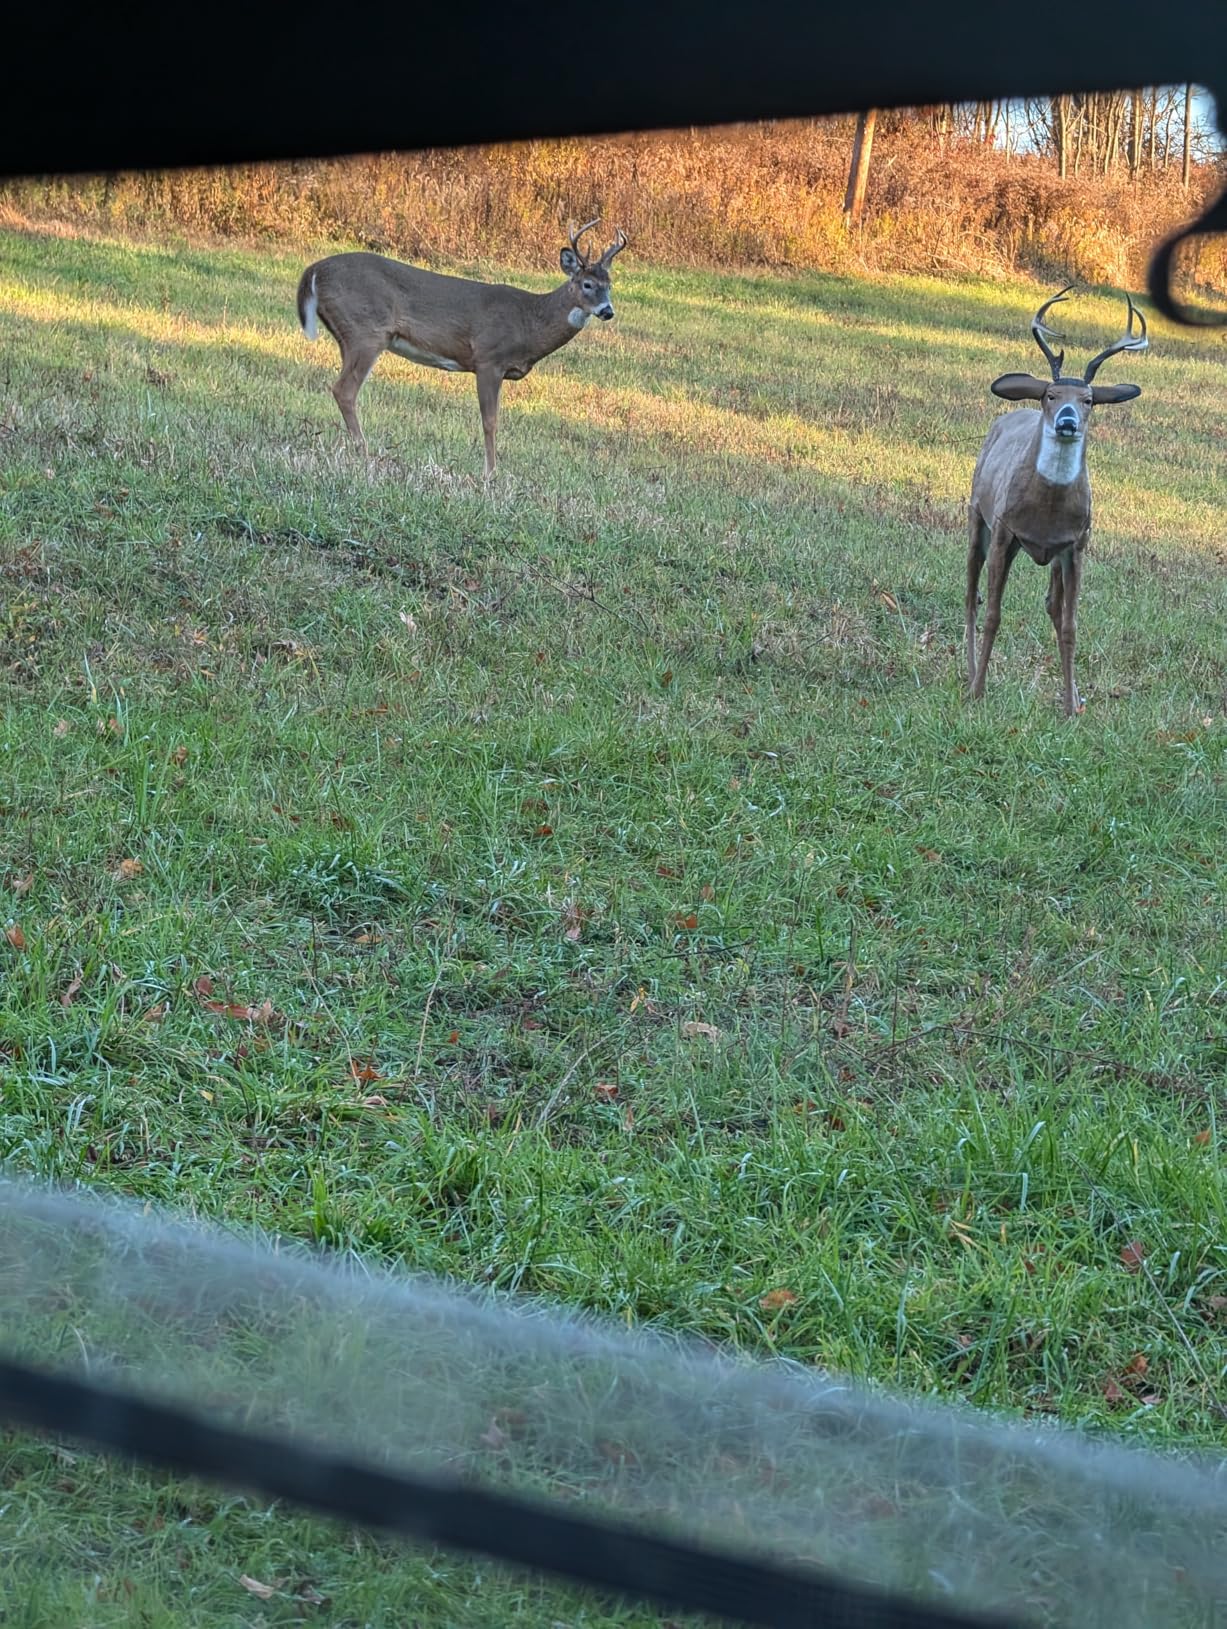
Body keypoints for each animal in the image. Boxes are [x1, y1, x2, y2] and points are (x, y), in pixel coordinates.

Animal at [296, 220, 628, 478]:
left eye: (609, 284)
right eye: (587, 284)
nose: (608, 311)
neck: (529, 322)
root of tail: (313, 271)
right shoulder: (488, 358)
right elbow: (490, 422)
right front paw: (490, 475)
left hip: (348, 335)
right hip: (367, 331)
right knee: (344, 389)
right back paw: (364, 453)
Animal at [966, 287, 1147, 715]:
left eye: (1089, 400)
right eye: (1051, 395)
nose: (1067, 422)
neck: (1045, 511)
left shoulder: (1076, 544)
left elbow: (1069, 625)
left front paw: (1069, 707)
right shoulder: (1005, 531)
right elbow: (993, 613)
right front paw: (979, 691)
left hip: (1052, 557)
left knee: (1051, 603)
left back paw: (1076, 697)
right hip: (976, 516)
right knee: (970, 595)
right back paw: (968, 674)